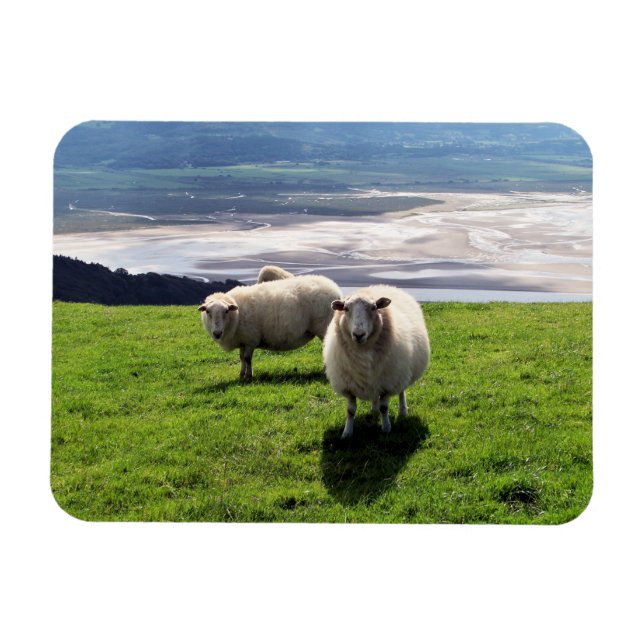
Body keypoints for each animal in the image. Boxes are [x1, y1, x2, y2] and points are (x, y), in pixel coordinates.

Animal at [199, 274, 342, 380]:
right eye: (208, 312)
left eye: (226, 311)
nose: (217, 333)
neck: (236, 316)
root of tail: (334, 288)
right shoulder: (243, 340)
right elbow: (241, 358)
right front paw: (241, 374)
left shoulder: (251, 339)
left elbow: (247, 359)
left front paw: (249, 376)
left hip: (324, 327)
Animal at [322, 285, 430, 439]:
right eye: (346, 308)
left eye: (374, 308)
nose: (358, 334)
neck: (362, 351)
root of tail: (383, 286)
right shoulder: (348, 385)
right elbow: (350, 410)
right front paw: (347, 432)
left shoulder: (388, 383)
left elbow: (384, 408)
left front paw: (386, 428)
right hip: (375, 379)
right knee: (374, 395)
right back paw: (373, 409)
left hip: (400, 372)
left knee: (401, 391)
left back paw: (403, 411)